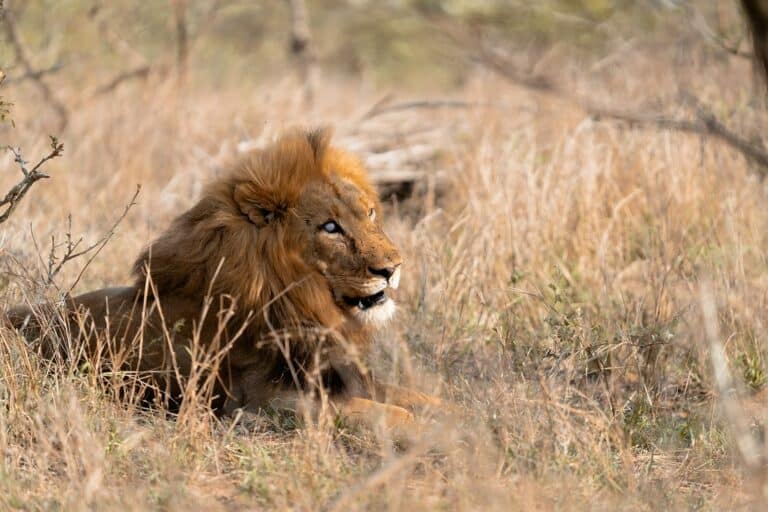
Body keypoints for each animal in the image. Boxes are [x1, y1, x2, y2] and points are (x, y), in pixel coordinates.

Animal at [7, 127, 442, 429]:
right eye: (330, 227)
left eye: (369, 213)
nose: (393, 267)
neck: (304, 302)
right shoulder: (264, 400)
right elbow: (392, 414)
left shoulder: (339, 375)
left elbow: (424, 398)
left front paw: (451, 416)